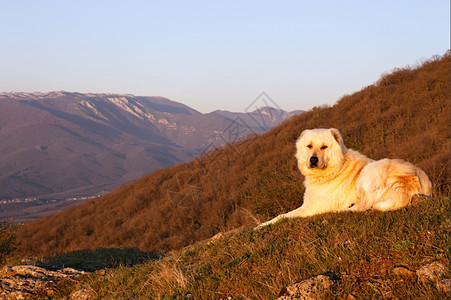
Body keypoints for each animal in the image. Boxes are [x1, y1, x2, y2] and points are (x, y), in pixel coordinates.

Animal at [260, 127, 432, 226]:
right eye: (309, 146)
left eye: (324, 147)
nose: (313, 160)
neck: (335, 168)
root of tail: (412, 179)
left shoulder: (310, 207)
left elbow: (282, 216)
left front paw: (260, 226)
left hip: (368, 173)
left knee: (362, 207)